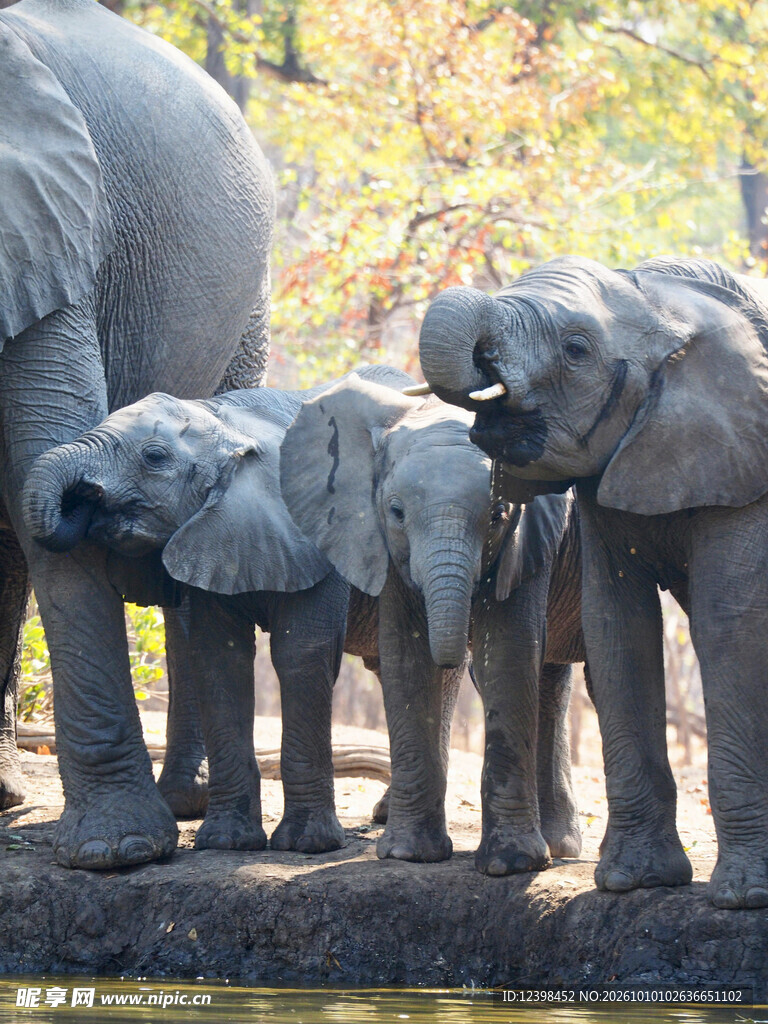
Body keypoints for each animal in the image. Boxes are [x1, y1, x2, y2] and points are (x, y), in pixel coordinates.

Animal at [280, 373, 585, 873]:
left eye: (499, 514)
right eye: (396, 512)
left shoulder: (529, 535)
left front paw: (510, 865)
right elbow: (406, 657)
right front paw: (409, 855)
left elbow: (508, 653)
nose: (455, 654)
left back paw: (558, 848)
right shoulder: (380, 542)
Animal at [417, 253, 768, 908]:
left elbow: (729, 627)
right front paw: (634, 882)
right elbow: (618, 628)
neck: (668, 302)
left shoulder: (749, 462)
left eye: (577, 349)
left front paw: (741, 898)